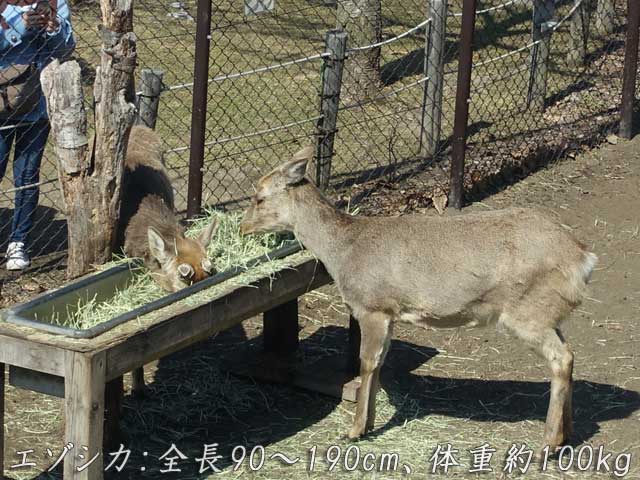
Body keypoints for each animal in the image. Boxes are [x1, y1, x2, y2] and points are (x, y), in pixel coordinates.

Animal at [239, 146, 596, 450]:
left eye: (259, 196)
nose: (242, 227)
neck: (342, 252)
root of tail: (583, 259)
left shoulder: (372, 305)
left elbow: (367, 362)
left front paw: (354, 430)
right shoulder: (389, 312)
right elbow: (380, 362)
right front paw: (369, 424)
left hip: (526, 310)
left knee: (561, 357)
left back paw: (548, 444)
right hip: (547, 310)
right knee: (570, 354)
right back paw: (567, 433)